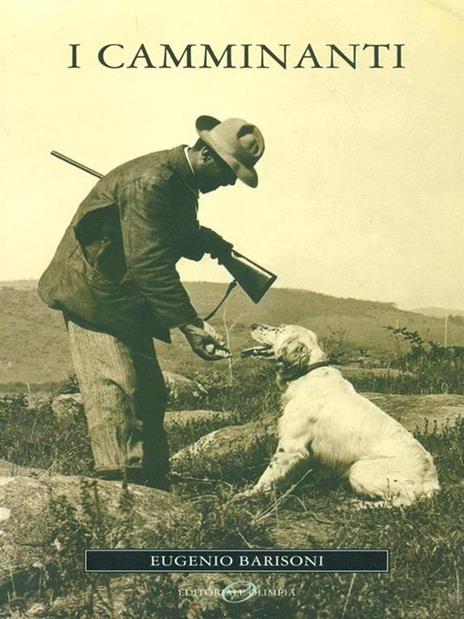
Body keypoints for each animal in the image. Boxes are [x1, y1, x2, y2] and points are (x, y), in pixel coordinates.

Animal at [241, 324, 440, 508]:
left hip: (359, 469)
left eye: (279, 329)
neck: (307, 373)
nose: (253, 325)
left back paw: (359, 505)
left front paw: (246, 494)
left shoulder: (291, 446)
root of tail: (432, 480)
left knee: (404, 501)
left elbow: (267, 475)